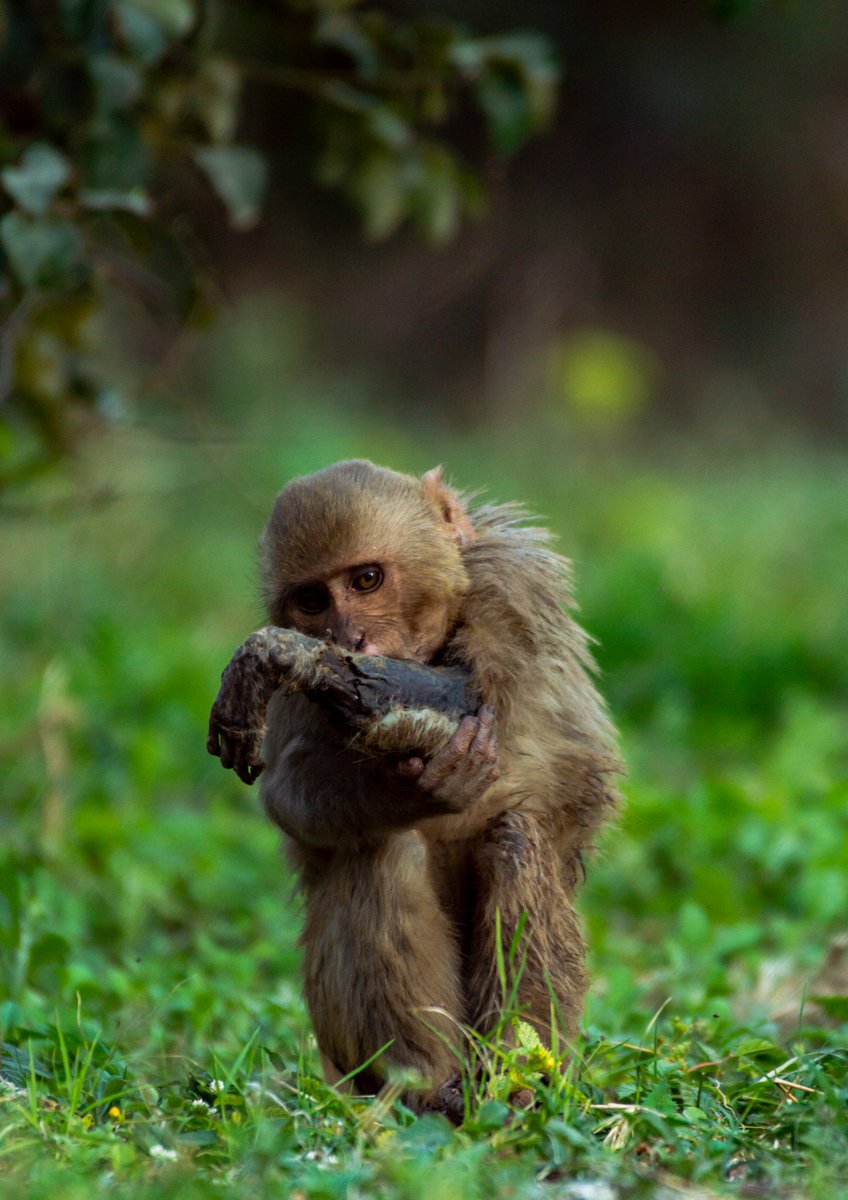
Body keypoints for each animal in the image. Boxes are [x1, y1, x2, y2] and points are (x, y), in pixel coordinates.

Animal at [207, 459, 621, 1116]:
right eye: (313, 601)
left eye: (368, 580)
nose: (349, 640)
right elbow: (291, 792)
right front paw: (415, 795)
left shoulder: (509, 585)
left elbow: (469, 692)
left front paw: (283, 656)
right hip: (344, 1053)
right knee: (382, 850)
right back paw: (423, 1081)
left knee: (515, 839)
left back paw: (512, 1080)